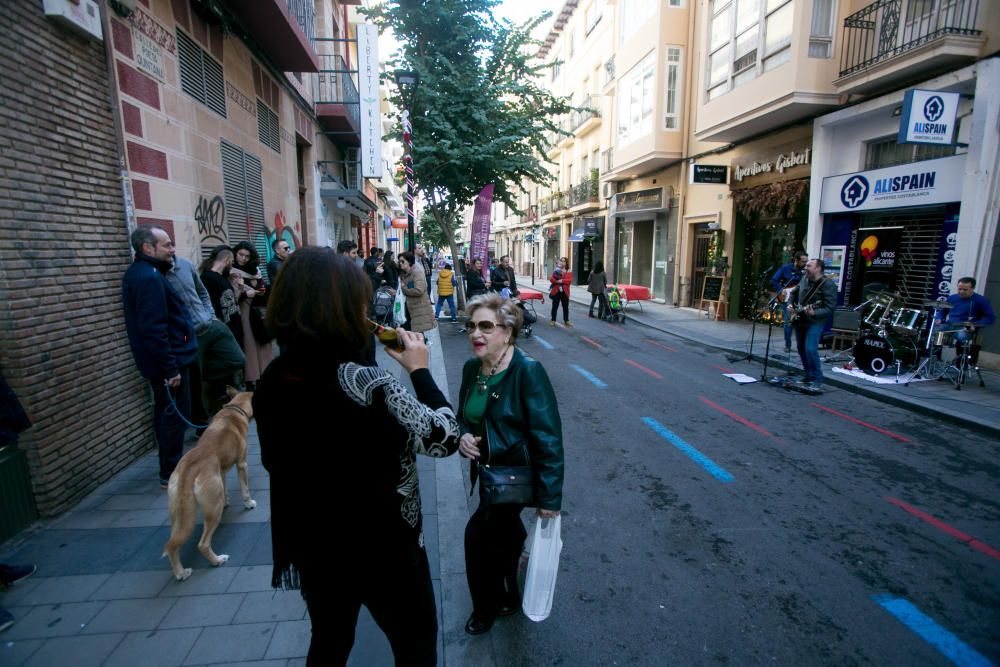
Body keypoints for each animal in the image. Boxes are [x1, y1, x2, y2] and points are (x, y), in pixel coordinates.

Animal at [162, 388, 256, 580]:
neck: (234, 410)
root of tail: (188, 468)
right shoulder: (242, 463)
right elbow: (245, 489)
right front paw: (249, 503)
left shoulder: (222, 471)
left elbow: (225, 488)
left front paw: (228, 501)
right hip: (213, 509)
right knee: (203, 544)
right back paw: (217, 560)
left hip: (178, 515)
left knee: (173, 545)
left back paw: (181, 573)